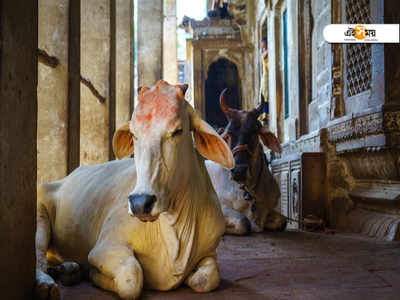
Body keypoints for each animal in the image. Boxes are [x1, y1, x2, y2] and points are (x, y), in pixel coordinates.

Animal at [36, 80, 234, 300]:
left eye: (177, 131)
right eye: (133, 134)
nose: (140, 203)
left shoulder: (210, 252)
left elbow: (204, 280)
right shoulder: (105, 246)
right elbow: (132, 280)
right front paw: (93, 274)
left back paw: (68, 270)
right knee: (39, 256)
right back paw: (47, 283)